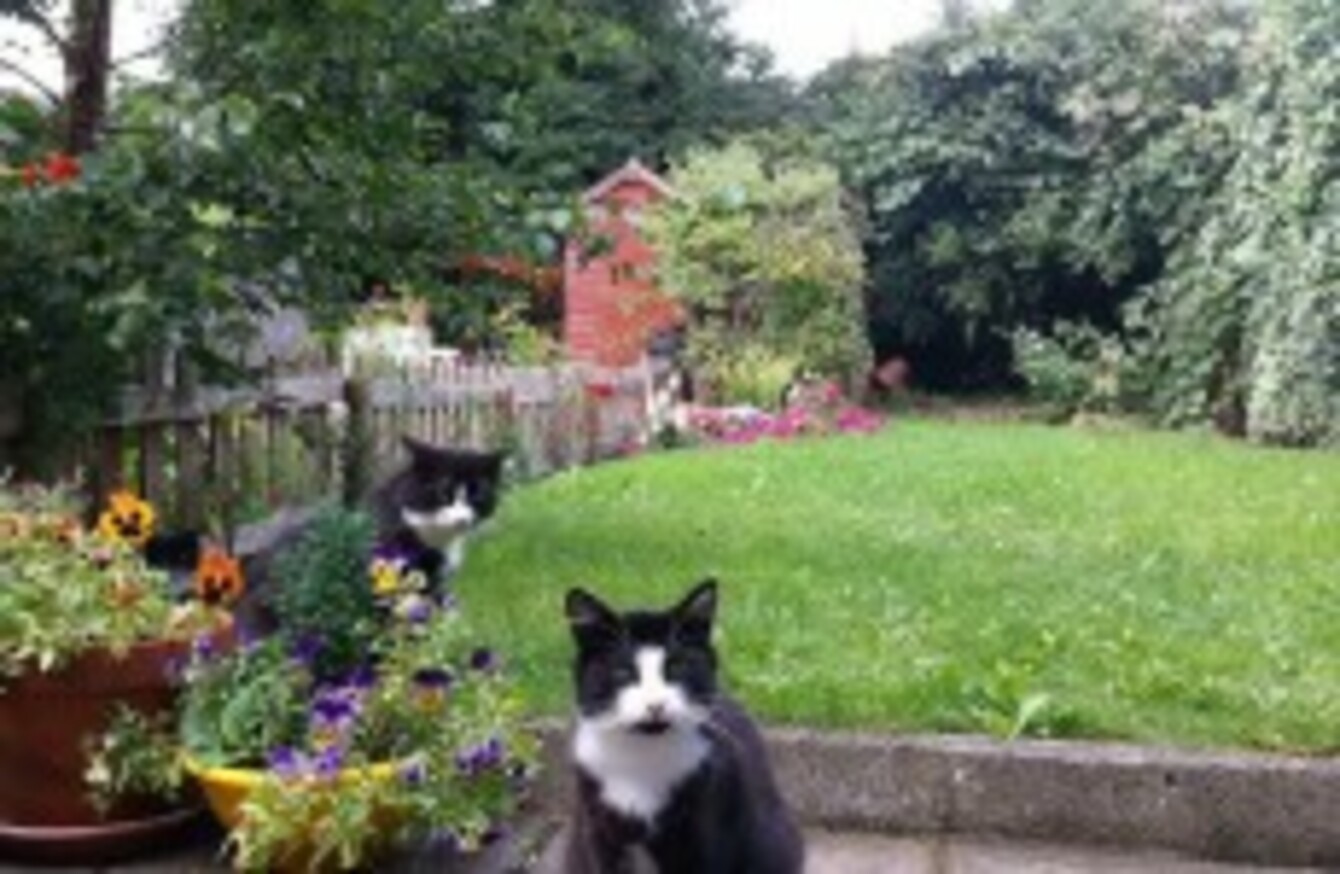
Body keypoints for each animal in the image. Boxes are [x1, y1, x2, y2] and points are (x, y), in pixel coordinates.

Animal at [558, 580, 804, 874]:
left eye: (676, 667)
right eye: (623, 672)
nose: (655, 705)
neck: (643, 757)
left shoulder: (704, 828)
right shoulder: (598, 829)